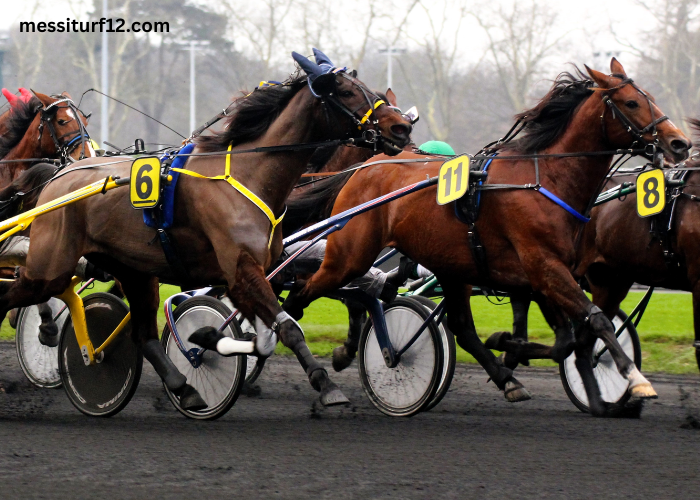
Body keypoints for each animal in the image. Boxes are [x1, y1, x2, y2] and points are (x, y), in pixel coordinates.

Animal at [0, 49, 412, 410]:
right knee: (21, 295)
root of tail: (58, 175)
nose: (402, 126)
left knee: (143, 335)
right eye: (343, 90)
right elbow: (288, 327)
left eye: (369, 88)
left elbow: (267, 330)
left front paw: (212, 342)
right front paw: (325, 384)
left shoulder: (253, 273)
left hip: (135, 270)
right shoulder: (242, 269)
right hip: (50, 268)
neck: (251, 173)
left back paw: (184, 388)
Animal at [282, 58, 692, 416]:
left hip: (450, 264)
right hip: (349, 255)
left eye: (650, 96)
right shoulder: (544, 267)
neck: (544, 180)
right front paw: (636, 380)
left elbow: (568, 339)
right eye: (631, 102)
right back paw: (309, 363)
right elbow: (596, 321)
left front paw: (512, 348)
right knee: (302, 294)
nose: (679, 143)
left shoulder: (545, 275)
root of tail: (363, 169)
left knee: (460, 327)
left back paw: (506, 378)